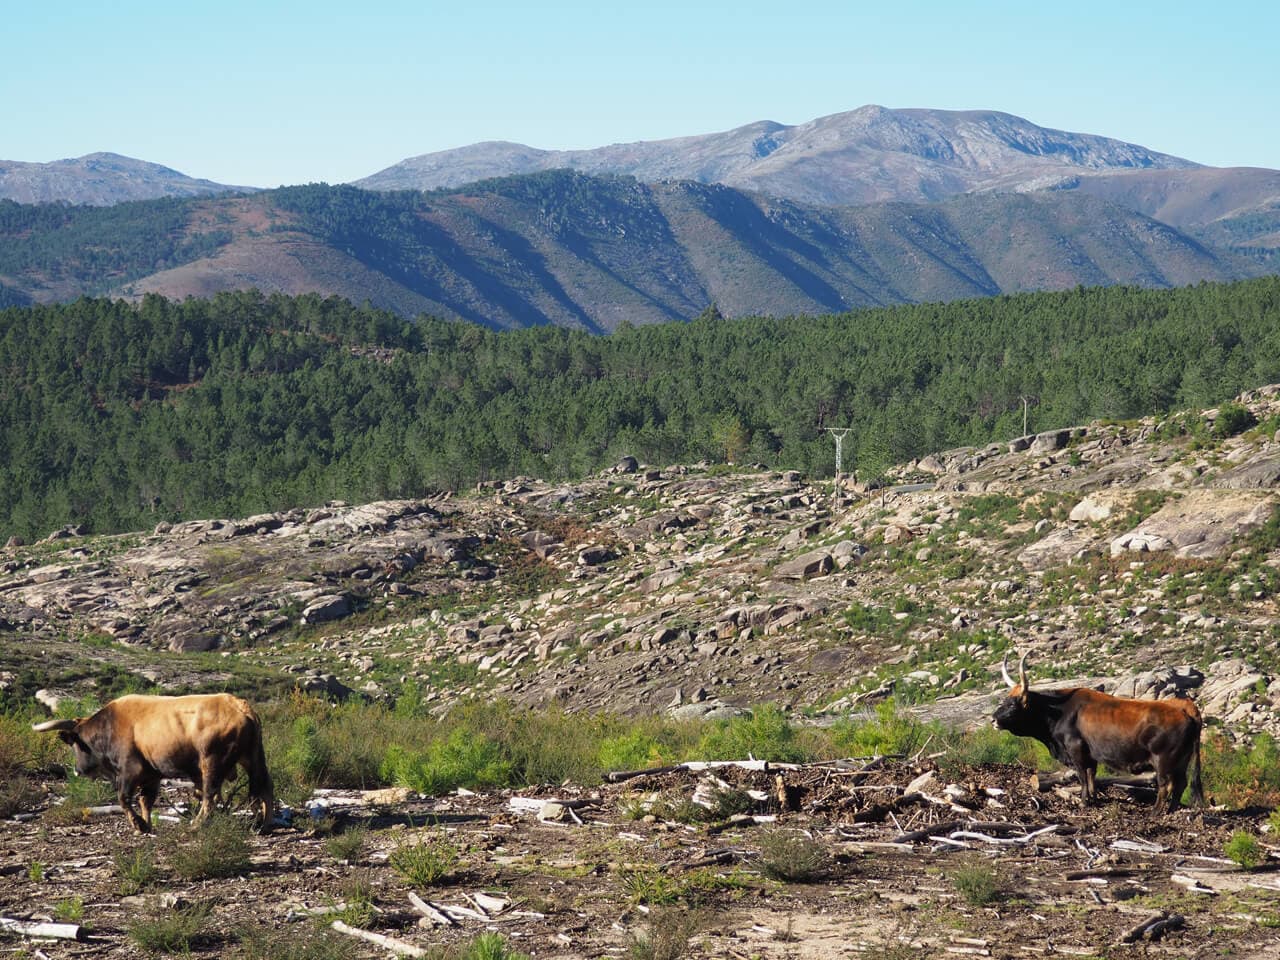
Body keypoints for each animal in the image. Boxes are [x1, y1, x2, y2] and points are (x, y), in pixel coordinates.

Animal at [33, 691, 273, 834]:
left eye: (75, 745)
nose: (78, 770)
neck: (108, 726)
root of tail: (238, 705)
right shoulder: (152, 774)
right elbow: (145, 800)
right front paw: (146, 824)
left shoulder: (130, 770)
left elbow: (124, 798)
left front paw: (138, 824)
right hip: (254, 758)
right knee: (265, 788)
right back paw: (263, 823)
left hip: (211, 762)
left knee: (209, 795)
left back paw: (197, 824)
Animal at [993, 650, 1203, 814]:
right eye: (1004, 700)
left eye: (1012, 704)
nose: (993, 719)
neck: (1059, 711)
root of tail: (1185, 707)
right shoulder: (1091, 753)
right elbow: (1091, 774)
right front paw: (1093, 798)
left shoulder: (1076, 749)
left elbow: (1082, 775)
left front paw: (1084, 801)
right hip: (1181, 760)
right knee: (1181, 784)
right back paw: (1170, 810)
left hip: (1164, 760)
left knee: (1165, 785)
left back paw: (1155, 813)